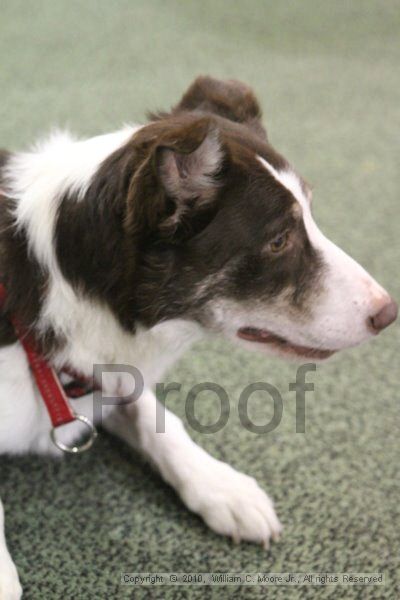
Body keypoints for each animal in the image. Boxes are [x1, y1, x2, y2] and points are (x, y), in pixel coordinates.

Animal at [0, 77, 396, 596]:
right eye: (278, 241)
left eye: (311, 215)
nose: (388, 312)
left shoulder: (109, 372)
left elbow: (161, 421)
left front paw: (222, 487)